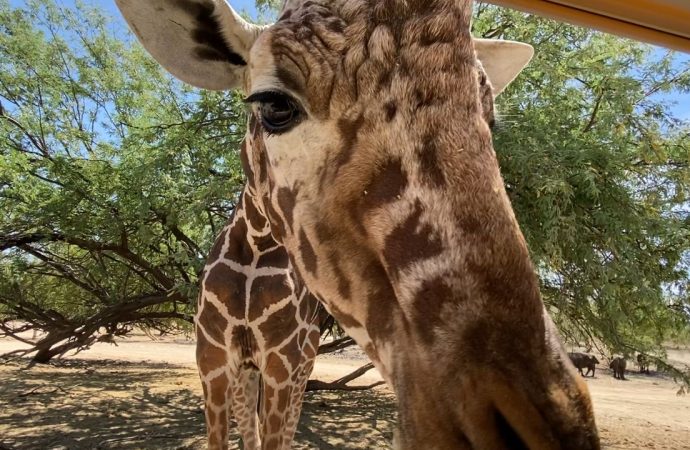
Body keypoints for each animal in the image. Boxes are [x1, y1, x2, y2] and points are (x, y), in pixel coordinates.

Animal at [115, 0, 601, 449]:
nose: (528, 428)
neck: (255, 250)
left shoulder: (284, 362)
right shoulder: (212, 359)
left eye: (490, 117)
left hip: (299, 363)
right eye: (274, 105)